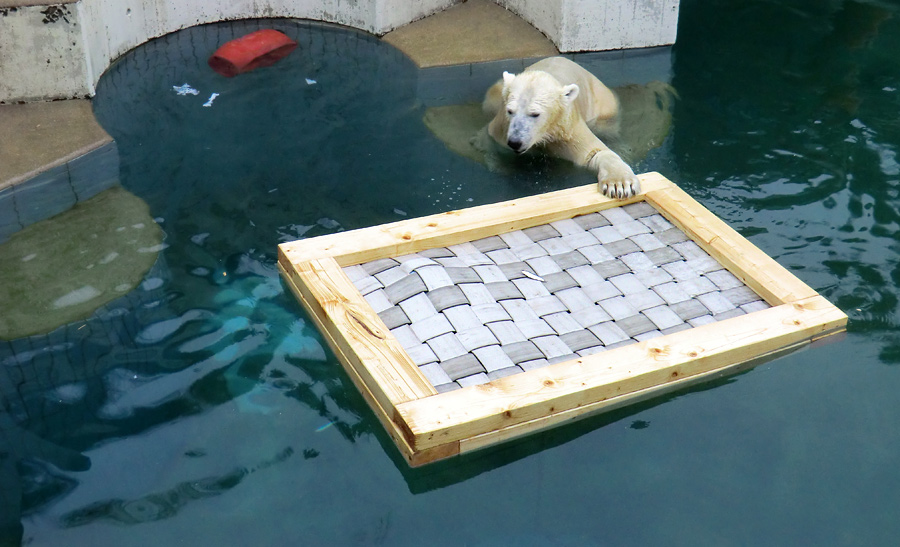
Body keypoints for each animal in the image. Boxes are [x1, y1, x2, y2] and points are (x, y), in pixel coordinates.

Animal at [486, 55, 640, 200]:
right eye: (510, 111)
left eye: (535, 114)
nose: (515, 142)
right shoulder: (501, 128)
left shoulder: (567, 129)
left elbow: (593, 152)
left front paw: (620, 185)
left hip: (602, 102)